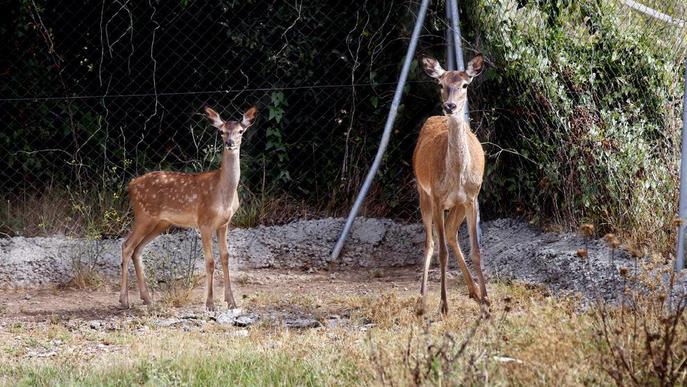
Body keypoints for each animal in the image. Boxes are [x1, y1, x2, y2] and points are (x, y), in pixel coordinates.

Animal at [119, 105, 256, 312]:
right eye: (221, 131)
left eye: (240, 131)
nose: (230, 143)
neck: (223, 192)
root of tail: (131, 185)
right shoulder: (204, 221)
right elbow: (210, 261)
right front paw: (210, 303)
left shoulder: (224, 223)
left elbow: (225, 257)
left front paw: (231, 301)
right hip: (144, 215)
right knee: (127, 246)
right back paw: (124, 300)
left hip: (161, 222)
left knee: (137, 250)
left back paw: (147, 298)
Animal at [414, 53, 490, 316]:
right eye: (440, 84)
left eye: (465, 84)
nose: (450, 106)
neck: (456, 177)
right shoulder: (438, 197)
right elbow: (442, 253)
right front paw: (444, 305)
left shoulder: (472, 197)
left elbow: (477, 250)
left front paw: (487, 301)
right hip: (423, 193)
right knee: (430, 243)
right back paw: (422, 301)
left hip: (456, 205)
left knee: (449, 232)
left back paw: (474, 292)